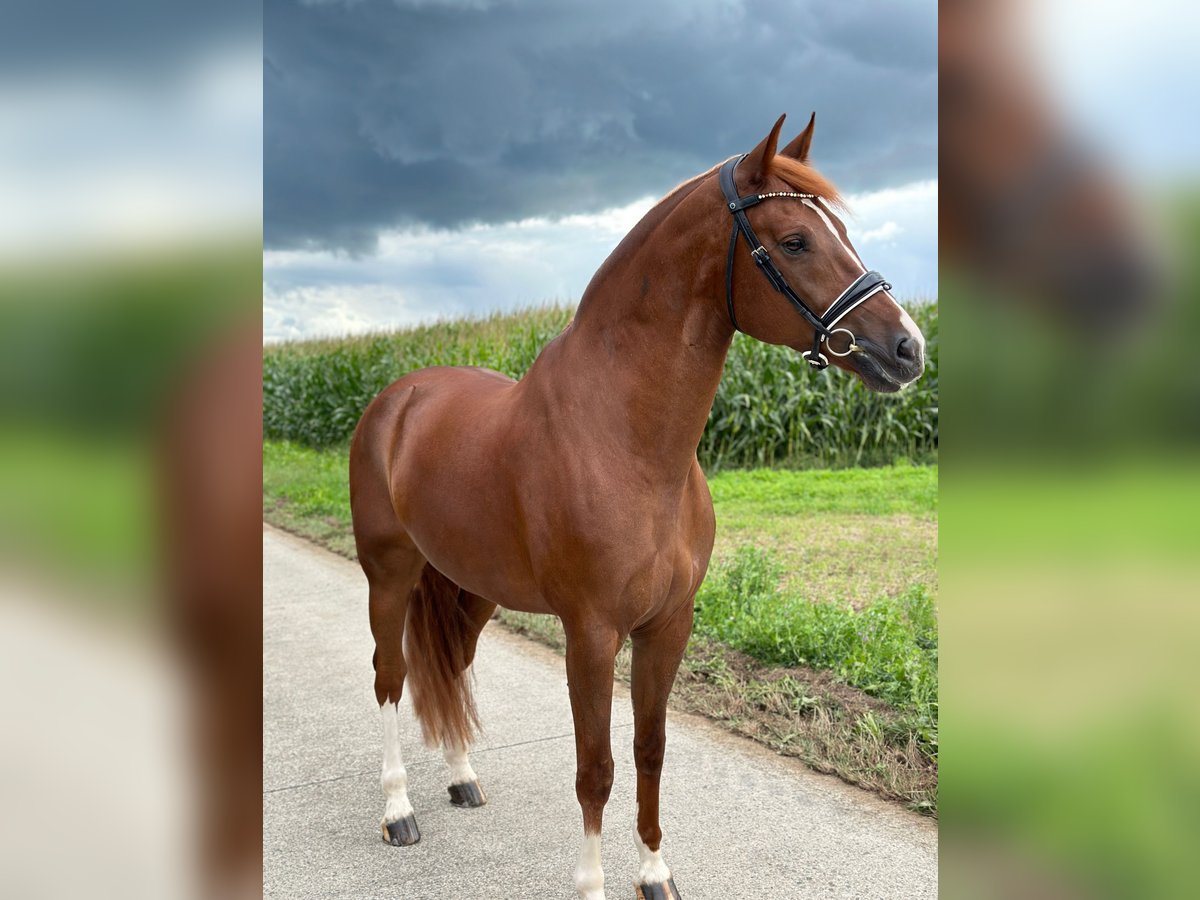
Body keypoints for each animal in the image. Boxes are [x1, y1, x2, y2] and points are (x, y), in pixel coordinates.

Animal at [350, 116, 926, 897]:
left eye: (841, 232)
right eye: (795, 240)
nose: (907, 348)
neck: (627, 443)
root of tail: (398, 398)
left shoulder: (669, 624)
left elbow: (650, 748)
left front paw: (655, 871)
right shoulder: (592, 633)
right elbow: (596, 767)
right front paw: (593, 881)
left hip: (472, 586)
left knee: (452, 663)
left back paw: (464, 778)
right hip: (390, 573)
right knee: (390, 675)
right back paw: (398, 811)